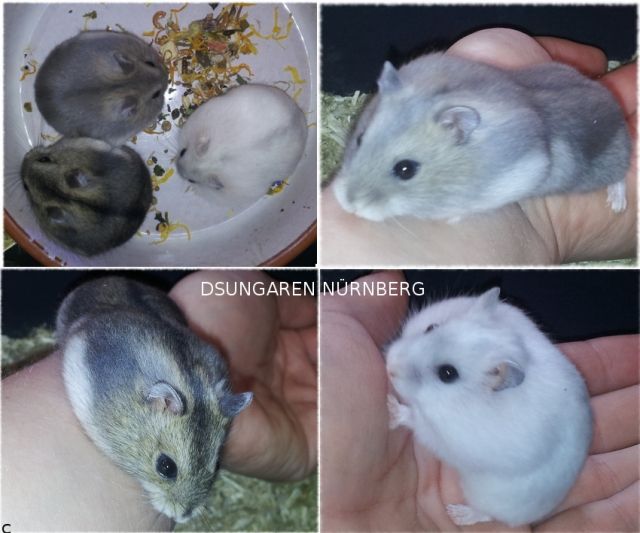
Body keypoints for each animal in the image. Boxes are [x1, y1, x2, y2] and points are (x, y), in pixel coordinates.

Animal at [334, 52, 631, 222]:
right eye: (359, 140)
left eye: (405, 169)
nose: (348, 205)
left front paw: (449, 219)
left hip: (612, 159)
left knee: (619, 177)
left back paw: (617, 206)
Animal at [386, 288, 592, 527]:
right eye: (431, 327)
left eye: (447, 373)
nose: (389, 367)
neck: (459, 399)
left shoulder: (443, 437)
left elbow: (416, 420)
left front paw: (392, 409)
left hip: (490, 499)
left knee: (487, 514)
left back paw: (457, 514)